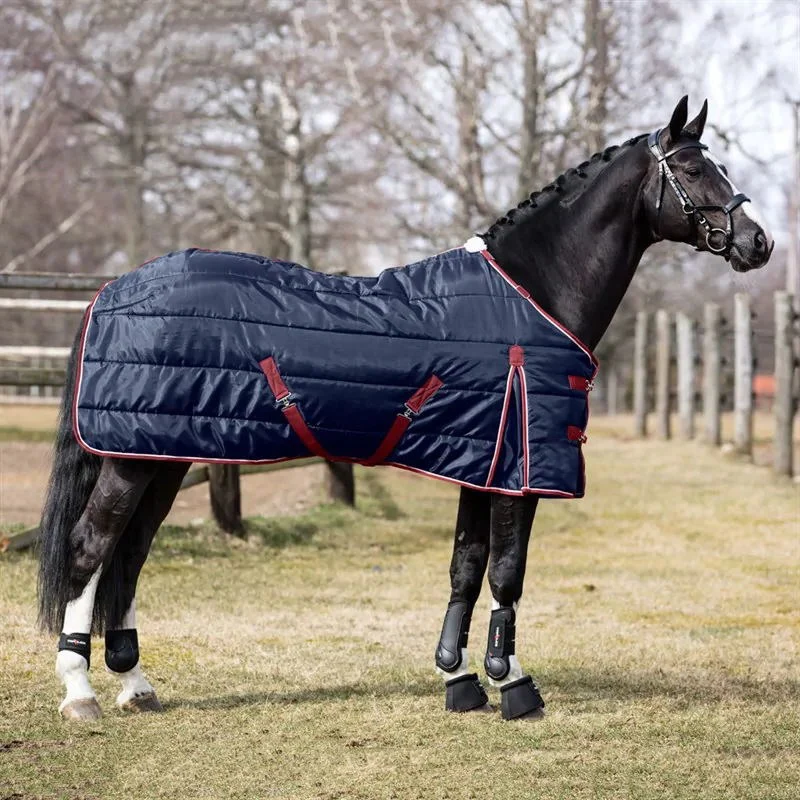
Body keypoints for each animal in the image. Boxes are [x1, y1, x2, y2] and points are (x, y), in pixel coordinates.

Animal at [37, 96, 773, 721]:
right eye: (693, 168)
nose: (757, 243)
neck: (532, 294)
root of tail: (111, 289)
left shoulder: (483, 461)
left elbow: (466, 567)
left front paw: (460, 678)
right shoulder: (520, 470)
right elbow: (507, 572)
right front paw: (513, 684)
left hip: (161, 455)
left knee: (128, 556)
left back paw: (135, 683)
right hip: (132, 460)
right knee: (89, 548)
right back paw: (80, 693)